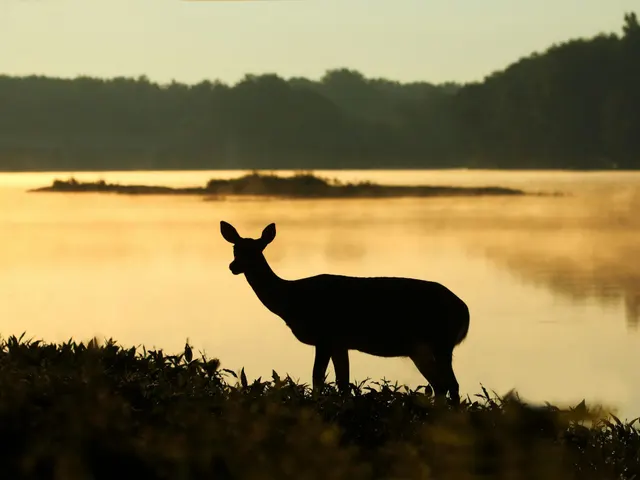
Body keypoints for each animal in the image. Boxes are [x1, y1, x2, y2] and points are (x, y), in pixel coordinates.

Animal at [220, 221, 470, 404]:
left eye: (256, 250)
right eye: (235, 248)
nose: (233, 266)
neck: (292, 300)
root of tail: (465, 311)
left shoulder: (325, 336)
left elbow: (318, 379)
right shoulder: (340, 343)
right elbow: (343, 384)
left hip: (441, 340)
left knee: (451, 385)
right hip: (420, 348)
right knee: (440, 385)